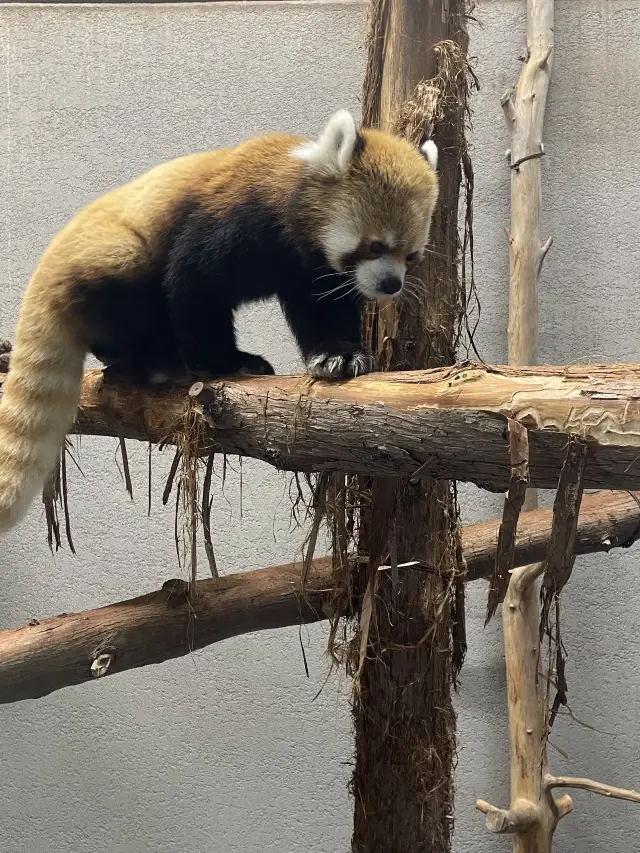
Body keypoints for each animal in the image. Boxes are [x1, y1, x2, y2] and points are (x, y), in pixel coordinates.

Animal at [0, 110, 438, 528]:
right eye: (375, 246)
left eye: (412, 256)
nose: (391, 284)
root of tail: (46, 269)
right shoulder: (233, 218)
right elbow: (194, 283)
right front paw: (226, 362)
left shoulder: (308, 271)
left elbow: (323, 313)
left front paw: (340, 356)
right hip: (115, 255)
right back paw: (157, 362)